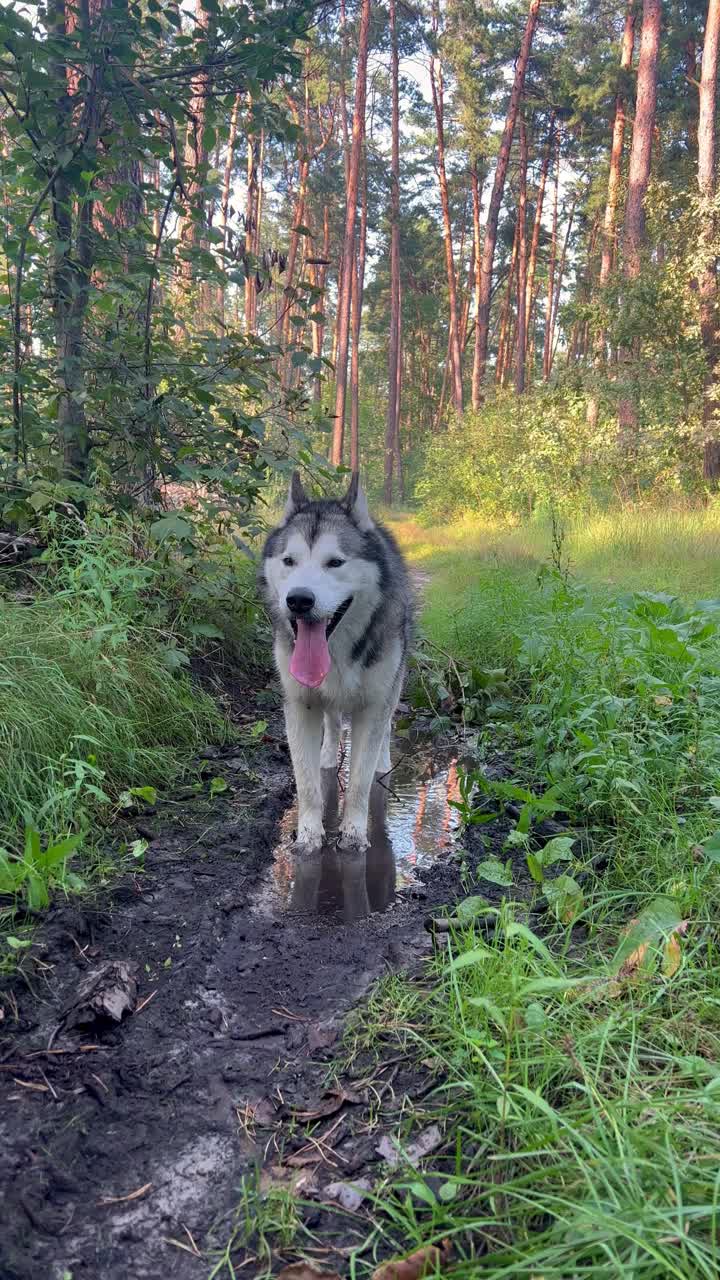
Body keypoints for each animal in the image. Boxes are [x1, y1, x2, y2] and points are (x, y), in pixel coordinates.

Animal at [262, 471, 409, 849]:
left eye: (335, 562)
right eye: (289, 561)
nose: (299, 600)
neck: (338, 650)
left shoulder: (373, 705)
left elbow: (359, 782)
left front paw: (354, 833)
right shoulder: (299, 704)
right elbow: (307, 783)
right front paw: (309, 835)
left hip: (394, 684)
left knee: (387, 726)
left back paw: (383, 760)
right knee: (331, 722)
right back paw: (328, 757)